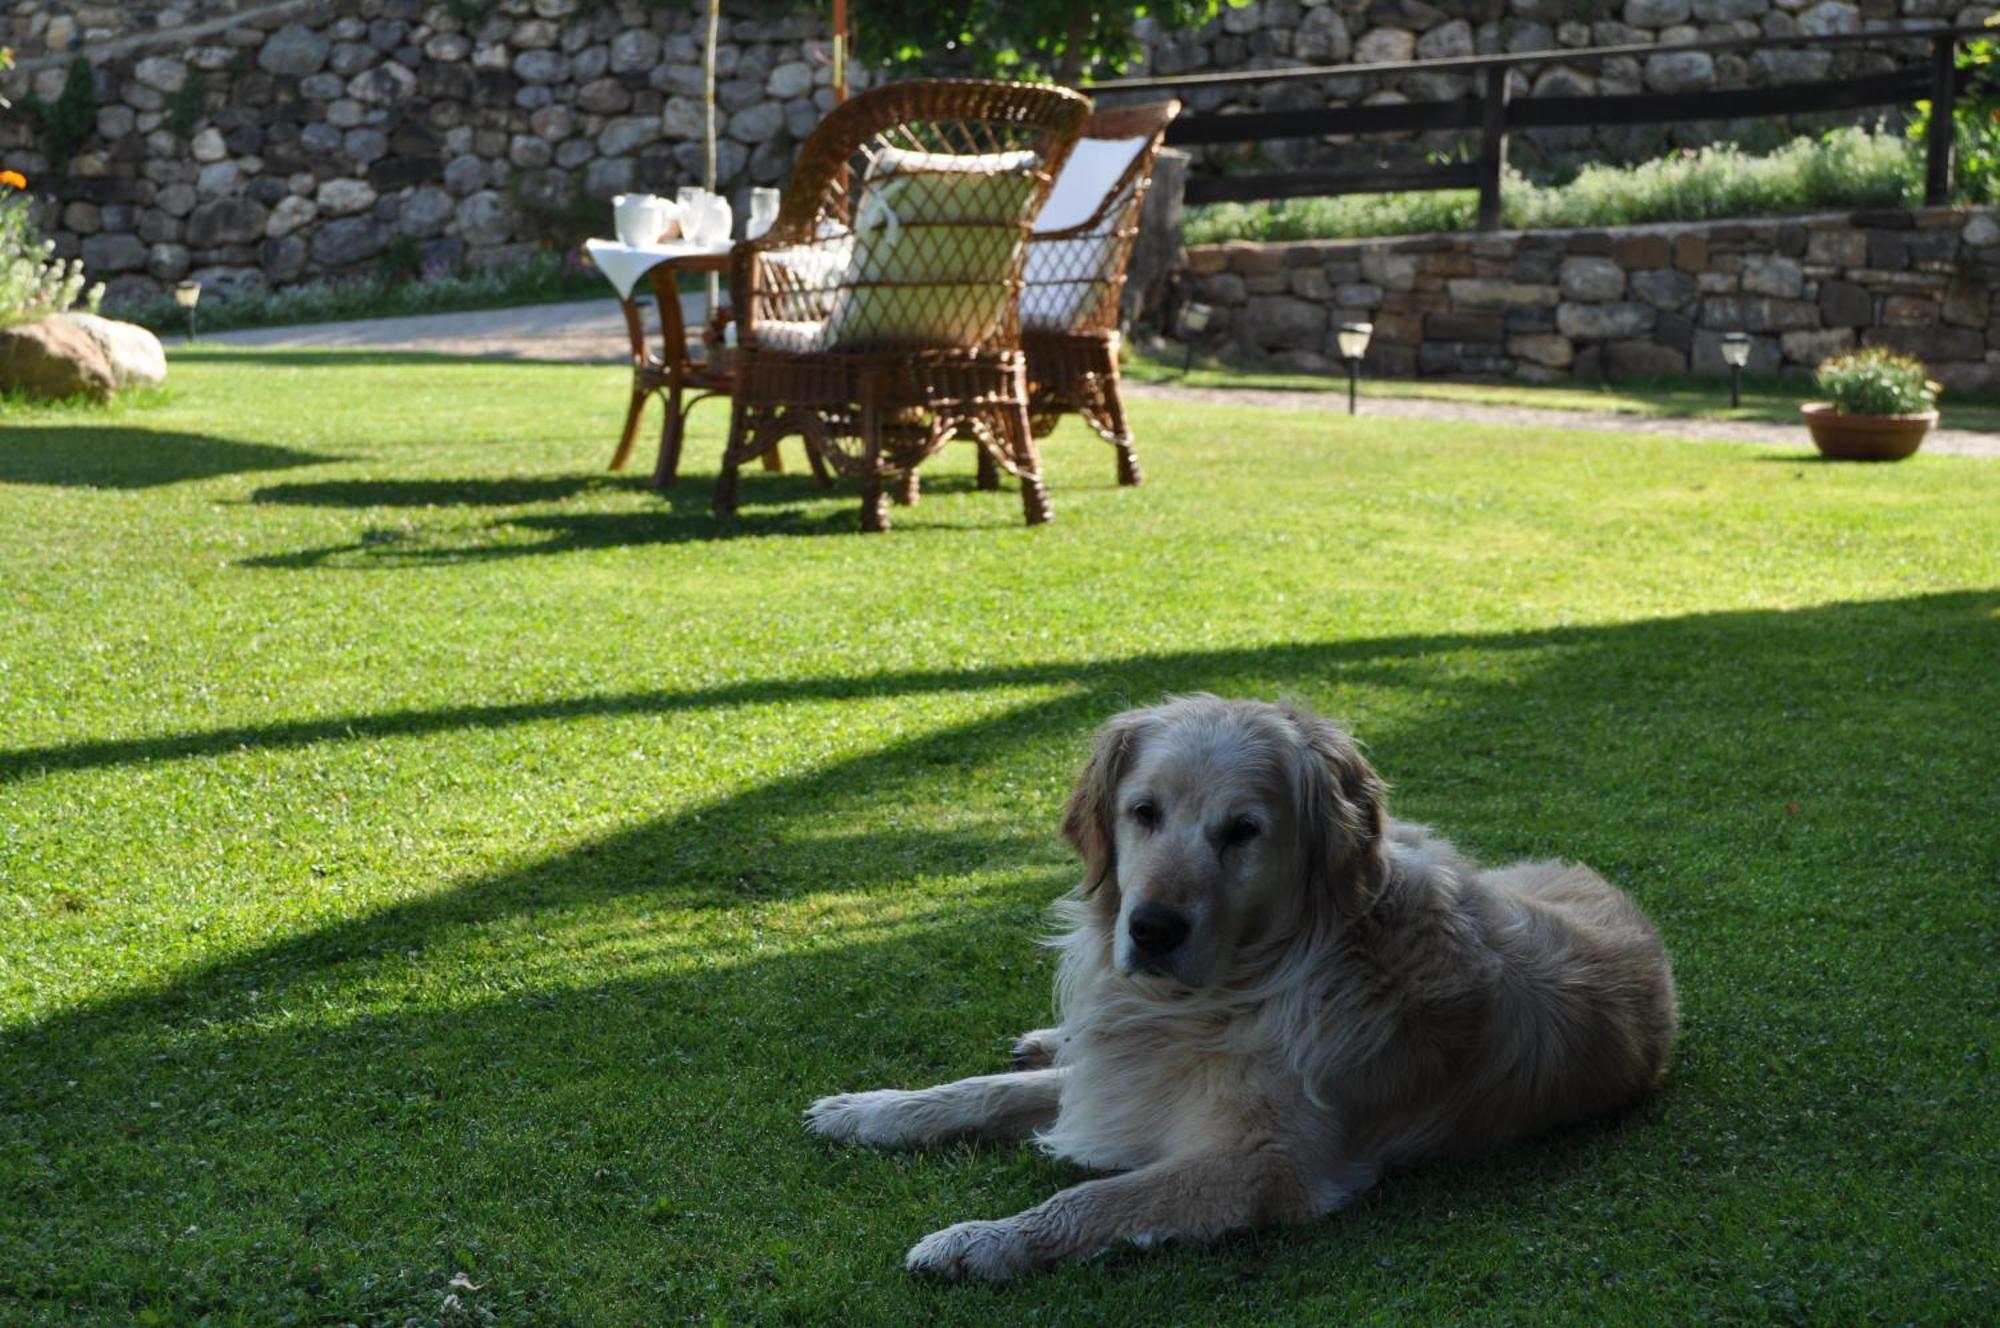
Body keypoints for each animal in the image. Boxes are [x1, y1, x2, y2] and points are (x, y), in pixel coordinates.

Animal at [804, 700, 1680, 1280]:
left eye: (1243, 831)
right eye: (1143, 812)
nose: (1152, 928)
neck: (1243, 989)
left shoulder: (1268, 1165)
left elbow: (1096, 1200)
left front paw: (976, 1242)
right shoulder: (1131, 1073)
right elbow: (982, 1091)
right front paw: (869, 1110)